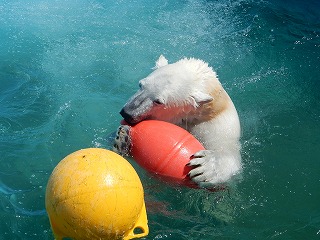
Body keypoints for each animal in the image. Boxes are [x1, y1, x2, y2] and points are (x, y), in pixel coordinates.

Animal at [114, 56, 241, 188]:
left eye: (158, 101)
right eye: (141, 85)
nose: (127, 112)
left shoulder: (216, 126)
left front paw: (206, 167)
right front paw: (122, 138)